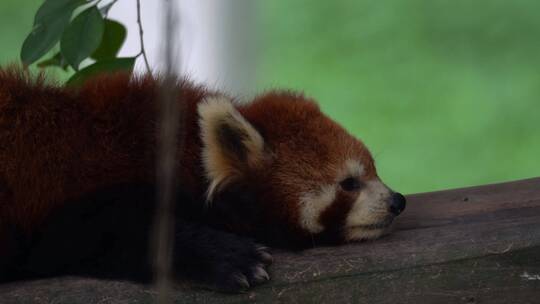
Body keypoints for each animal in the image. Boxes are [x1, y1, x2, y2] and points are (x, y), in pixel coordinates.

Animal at [0, 67, 404, 292]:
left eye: (374, 170)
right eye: (349, 183)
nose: (398, 201)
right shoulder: (76, 196)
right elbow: (108, 231)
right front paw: (230, 258)